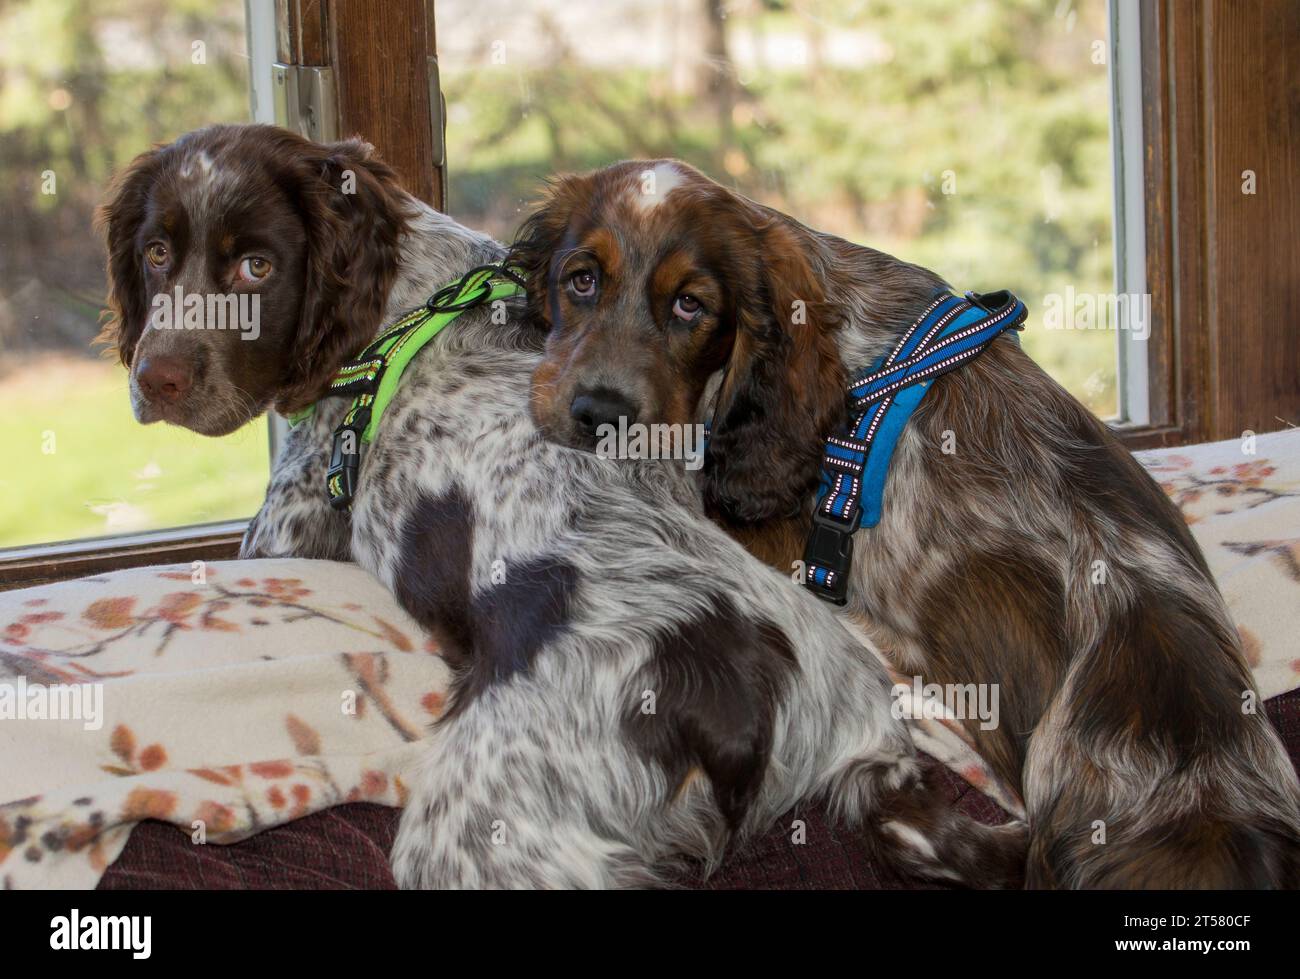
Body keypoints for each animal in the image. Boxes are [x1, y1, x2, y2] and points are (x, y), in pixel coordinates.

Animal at [94, 124, 1024, 884]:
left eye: (257, 265)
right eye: (155, 254)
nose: (155, 378)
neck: (409, 304)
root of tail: (763, 706)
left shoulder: (287, 524)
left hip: (480, 836)